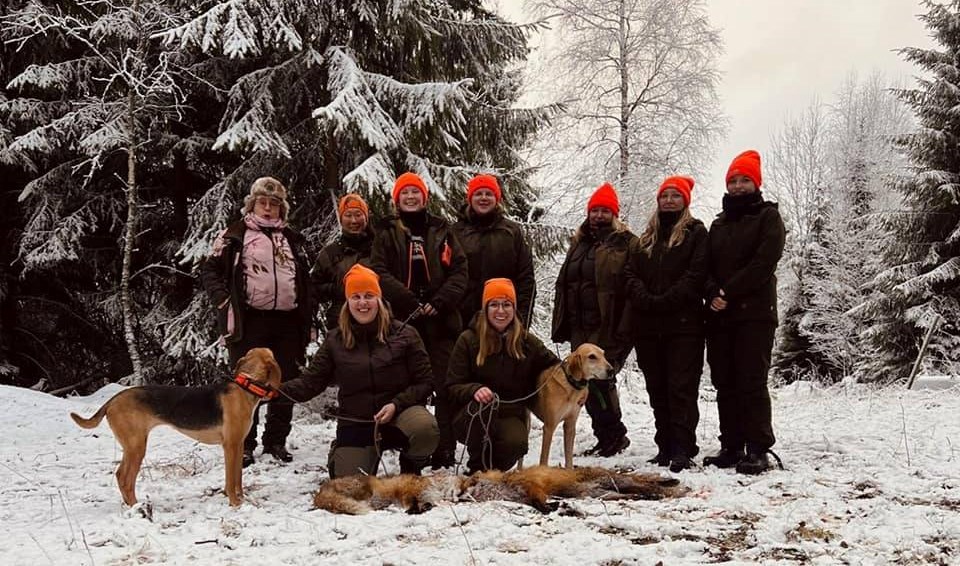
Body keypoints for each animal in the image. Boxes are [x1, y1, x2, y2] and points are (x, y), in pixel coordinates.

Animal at [70, 348, 282, 508]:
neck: (247, 386)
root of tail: (112, 400)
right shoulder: (230, 446)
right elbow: (230, 480)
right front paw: (234, 503)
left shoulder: (239, 445)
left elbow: (238, 478)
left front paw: (242, 498)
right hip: (136, 446)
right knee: (124, 477)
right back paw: (137, 507)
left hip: (133, 446)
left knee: (122, 476)